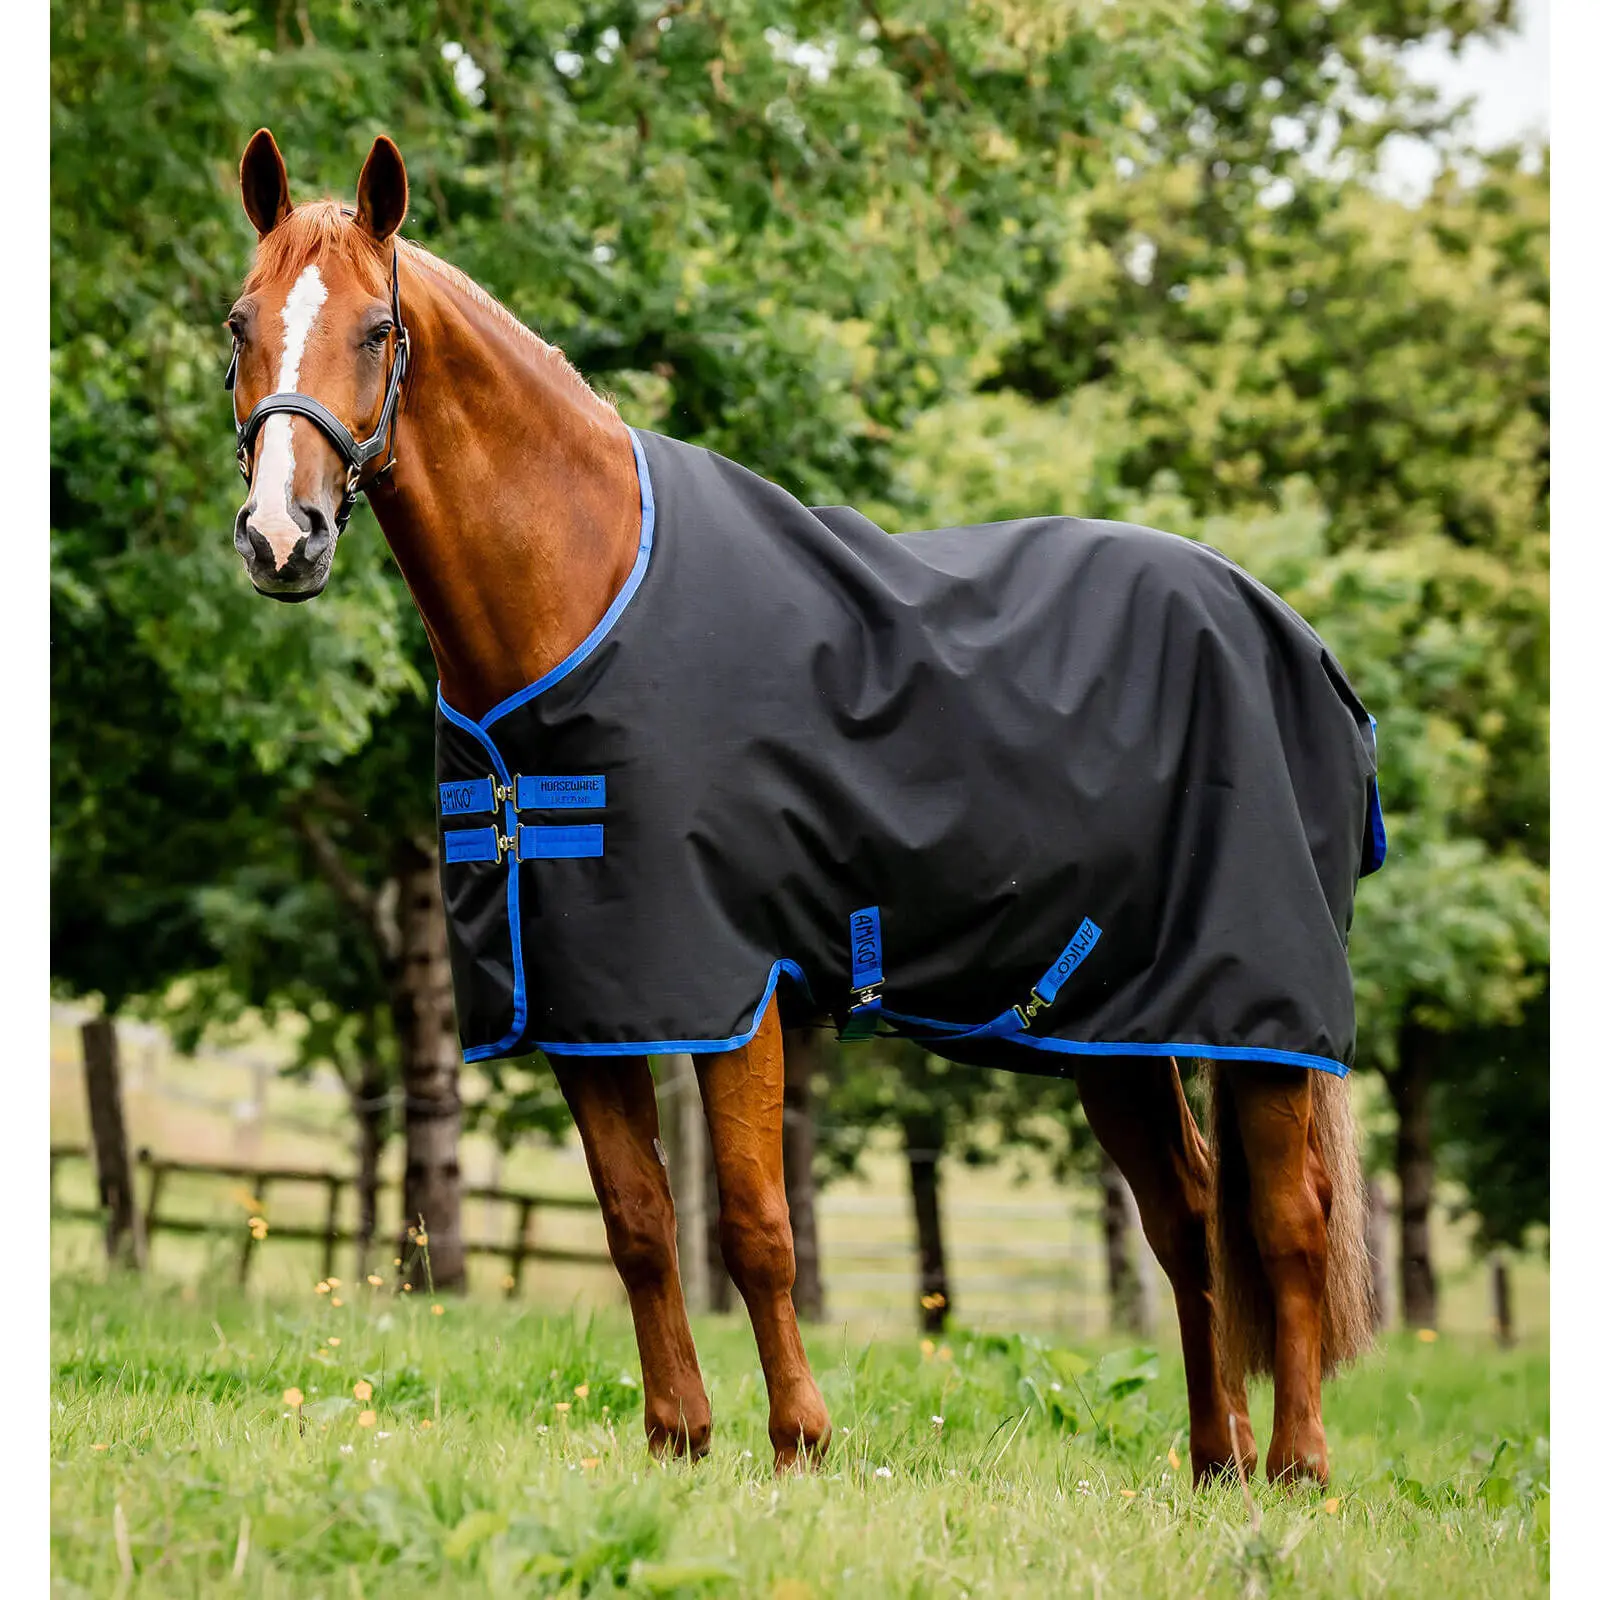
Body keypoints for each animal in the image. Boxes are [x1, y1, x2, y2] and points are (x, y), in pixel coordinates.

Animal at [224, 129, 1375, 1486]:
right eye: (238, 323)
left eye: (377, 330)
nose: (279, 537)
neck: (585, 588)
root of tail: (1294, 637)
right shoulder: (583, 995)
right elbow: (638, 1220)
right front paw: (679, 1437)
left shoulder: (735, 983)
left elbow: (756, 1222)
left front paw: (798, 1444)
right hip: (1115, 1027)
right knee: (1188, 1216)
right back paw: (1213, 1460)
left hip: (1261, 1014)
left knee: (1287, 1220)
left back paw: (1295, 1471)